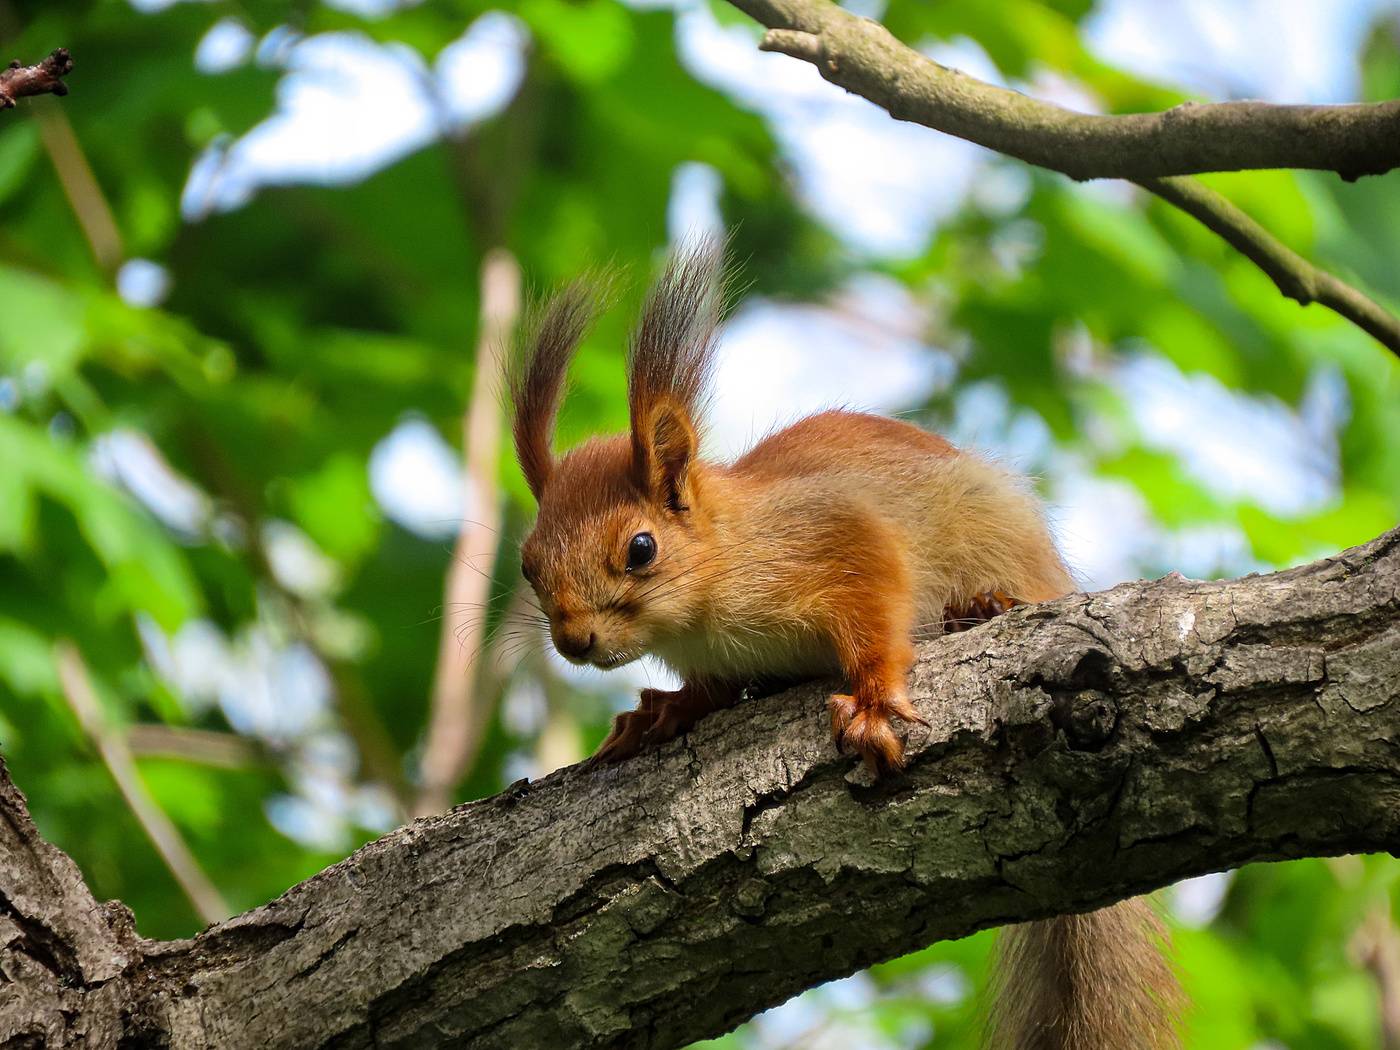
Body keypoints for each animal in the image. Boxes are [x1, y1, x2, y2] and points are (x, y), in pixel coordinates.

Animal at [509, 243, 1185, 1050]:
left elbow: (877, 606)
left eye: (640, 549)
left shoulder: (838, 536)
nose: (574, 640)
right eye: (527, 564)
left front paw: (872, 699)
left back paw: (986, 606)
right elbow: (705, 693)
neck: (705, 602)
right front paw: (661, 714)